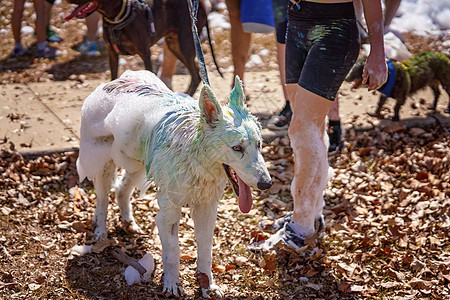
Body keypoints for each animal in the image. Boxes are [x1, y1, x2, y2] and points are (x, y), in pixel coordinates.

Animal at [66, 0, 221, 95]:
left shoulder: (145, 52)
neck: (117, 17)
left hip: (185, 44)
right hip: (174, 45)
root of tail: (201, 7)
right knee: (196, 76)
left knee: (197, 76)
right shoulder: (112, 53)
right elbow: (113, 76)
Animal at [77, 69, 270, 296]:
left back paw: (129, 223)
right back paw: (100, 232)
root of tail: (120, 79)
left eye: (259, 145)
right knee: (103, 199)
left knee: (121, 189)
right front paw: (171, 284)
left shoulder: (207, 208)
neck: (194, 156)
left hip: (138, 163)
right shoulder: (169, 212)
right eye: (237, 148)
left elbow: (206, 250)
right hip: (103, 161)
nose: (267, 184)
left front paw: (207, 284)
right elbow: (172, 252)